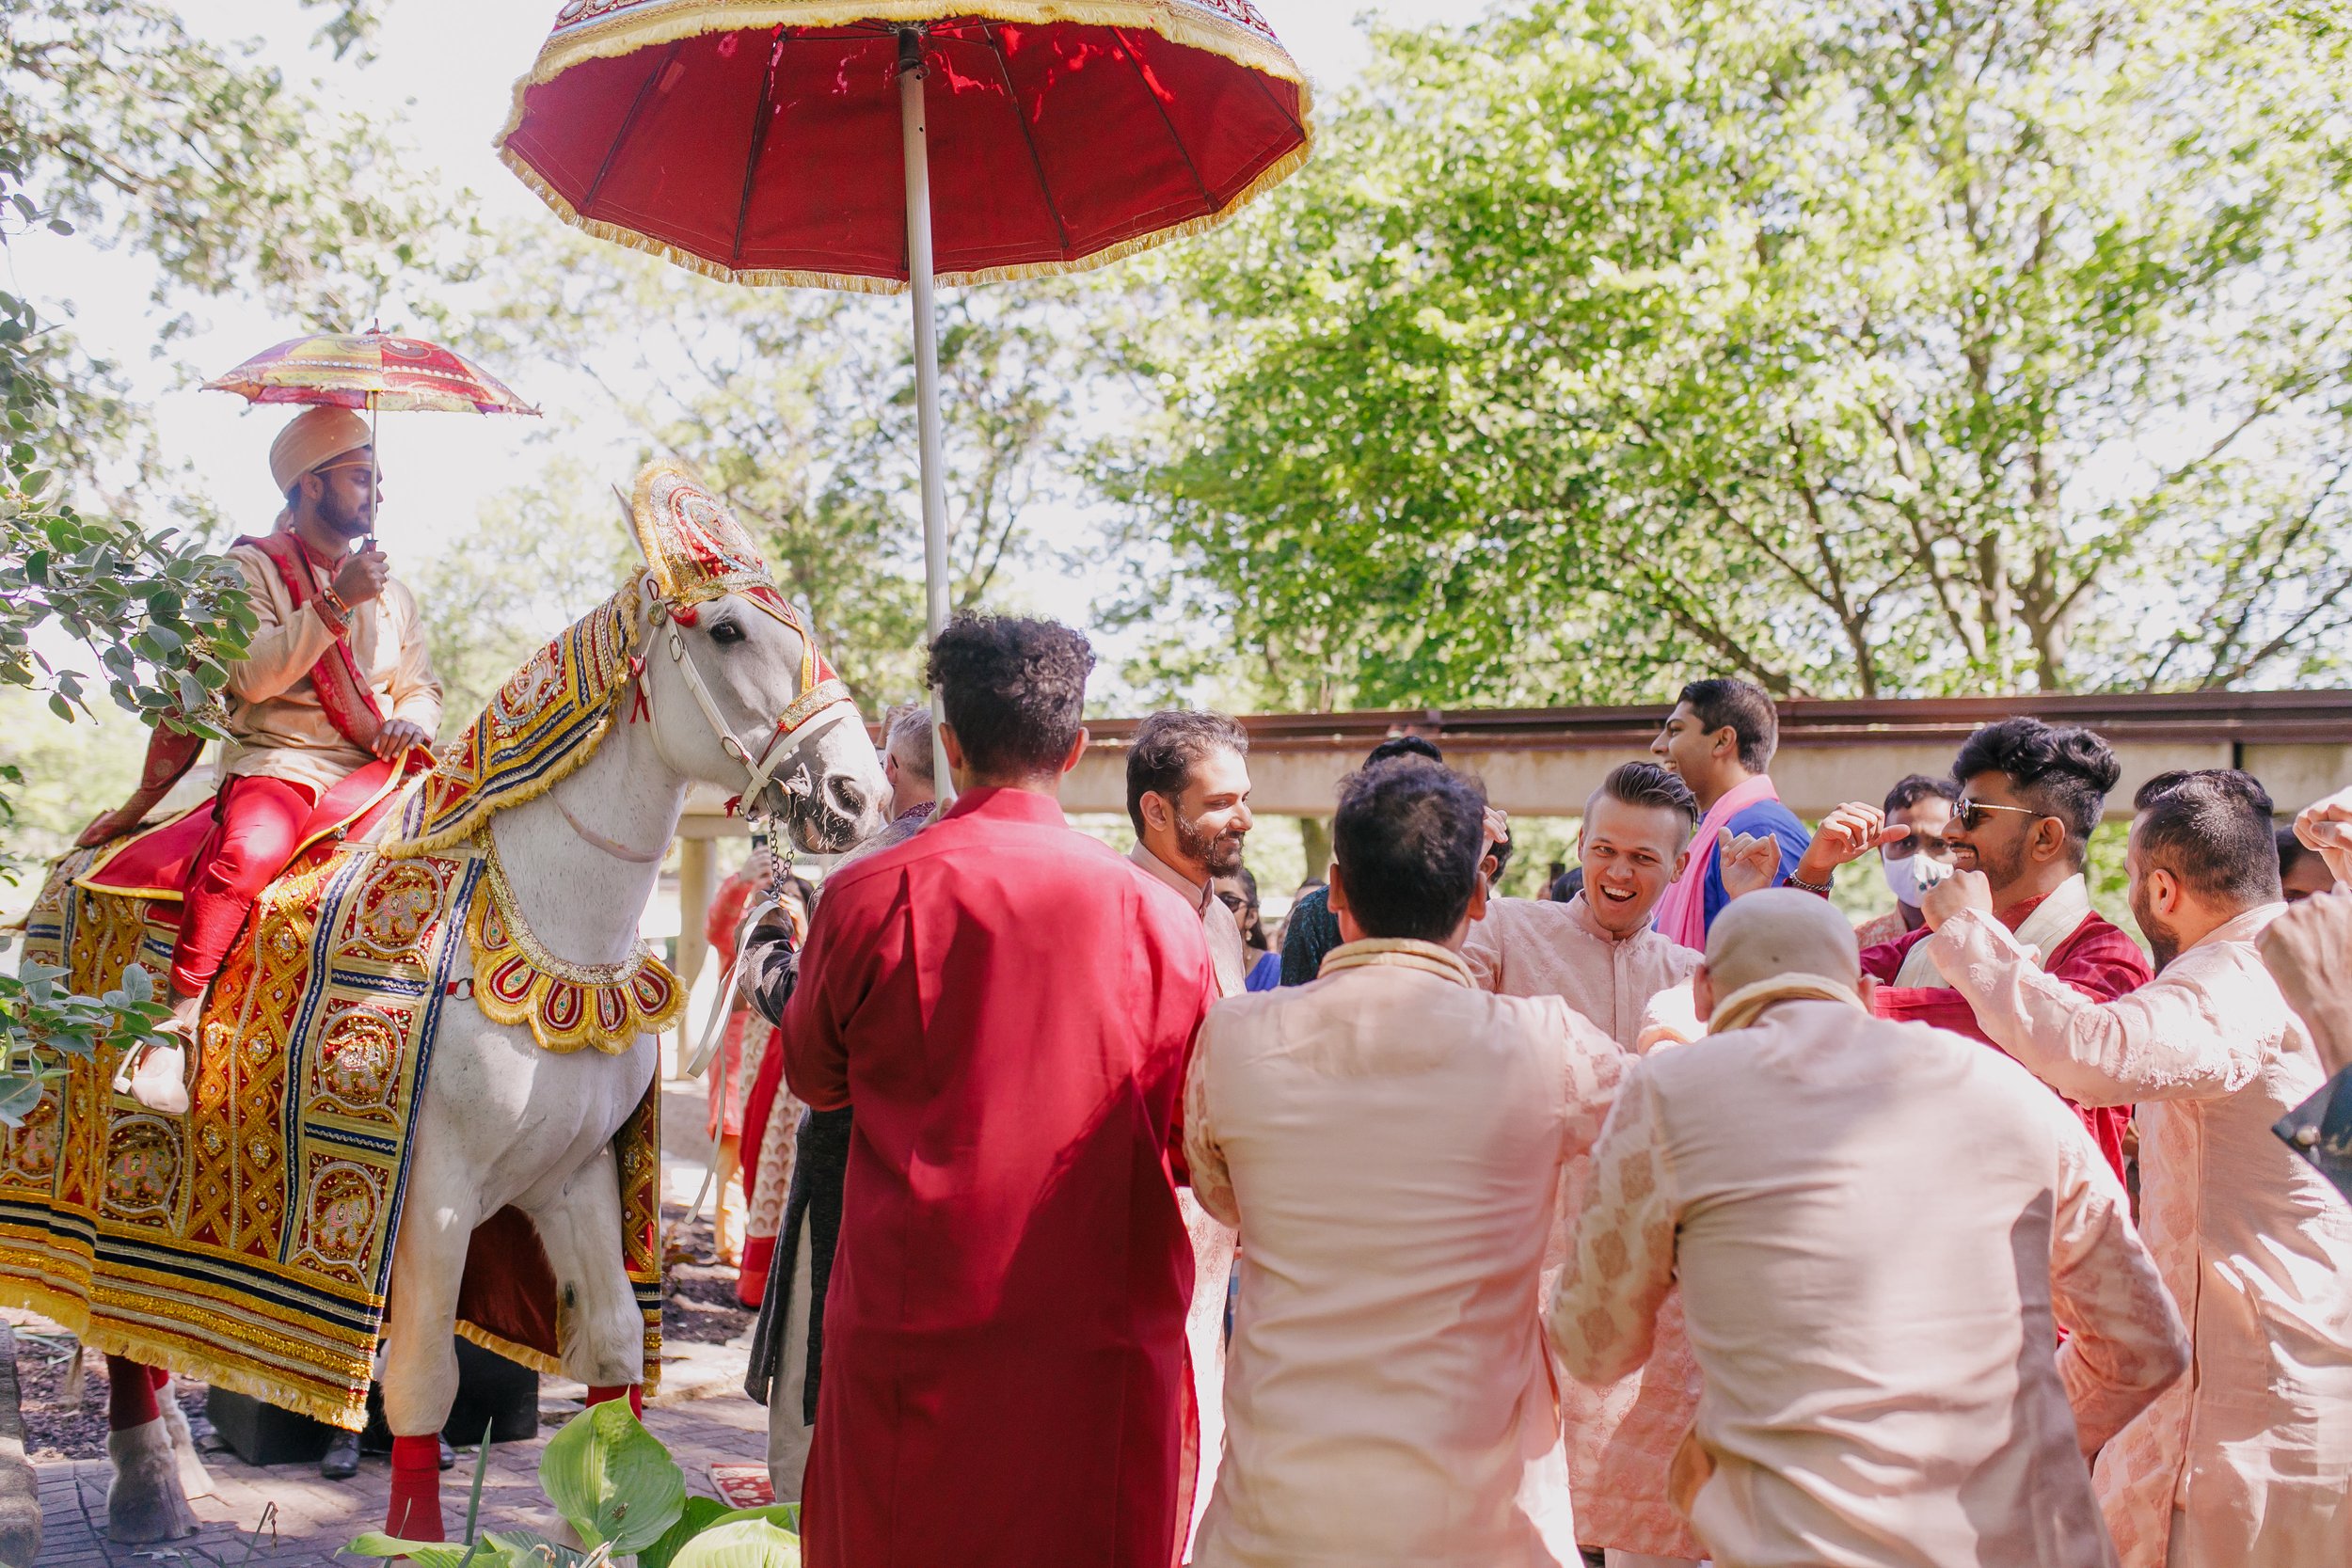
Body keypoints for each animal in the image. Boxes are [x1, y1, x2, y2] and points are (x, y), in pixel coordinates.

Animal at [85, 408, 444, 1114]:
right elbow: (250, 667)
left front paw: (401, 727)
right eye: (361, 477)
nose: (378, 496)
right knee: (225, 883)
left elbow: (418, 687)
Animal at [105, 566, 884, 1542]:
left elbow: (614, 1351)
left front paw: (610, 1523)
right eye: (729, 630)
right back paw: (152, 1486)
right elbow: (421, 1381)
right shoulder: (432, 1192)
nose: (859, 794)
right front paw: (411, 1542)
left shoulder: (575, 1172)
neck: (549, 928)